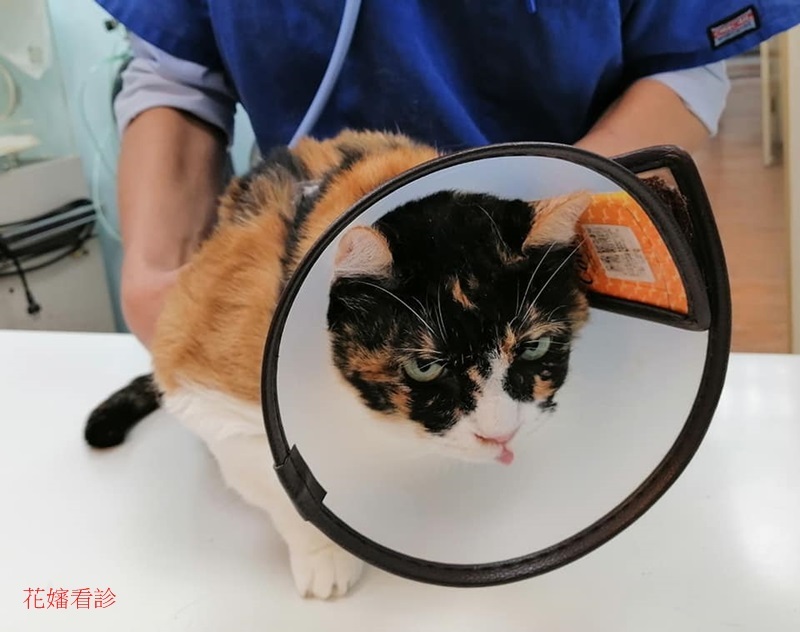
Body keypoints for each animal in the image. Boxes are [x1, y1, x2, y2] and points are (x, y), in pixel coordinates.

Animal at [84, 129, 591, 599]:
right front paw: (326, 558)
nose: (501, 435)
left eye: (534, 347)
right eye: (424, 368)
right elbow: (280, 490)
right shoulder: (205, 389)